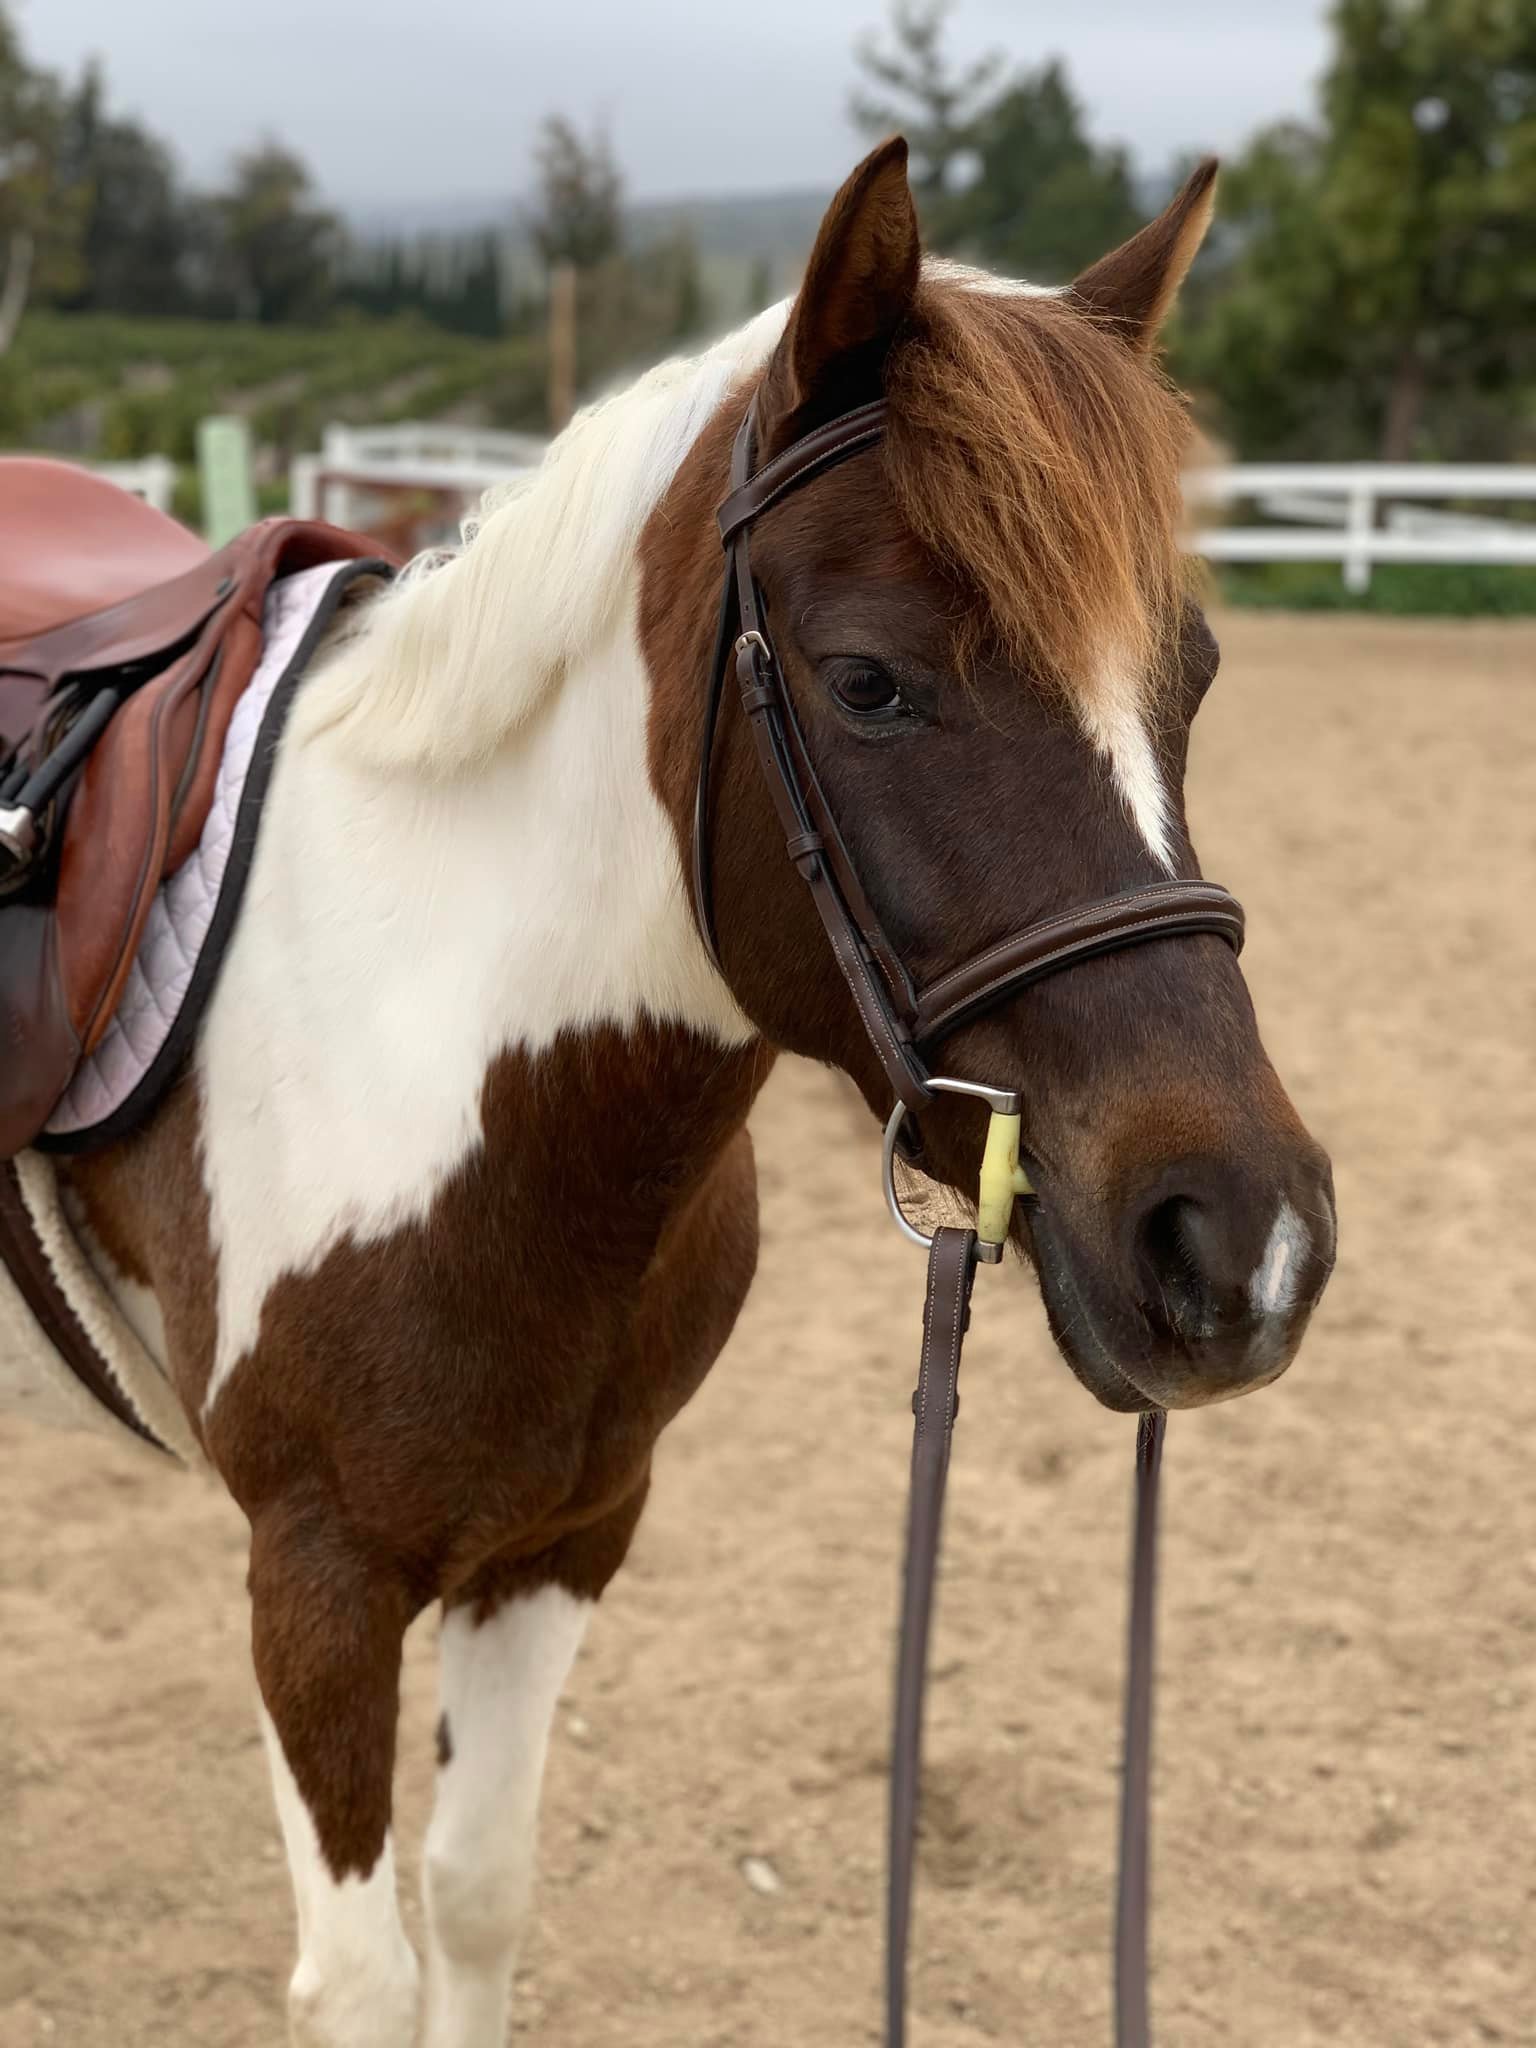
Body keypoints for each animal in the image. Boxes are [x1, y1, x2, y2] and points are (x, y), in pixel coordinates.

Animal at [8, 139, 1335, 2047]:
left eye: (1194, 675)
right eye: (870, 682)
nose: (1239, 1244)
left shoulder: (567, 1535)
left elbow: (479, 1899)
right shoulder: (315, 1580)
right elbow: (365, 1977)